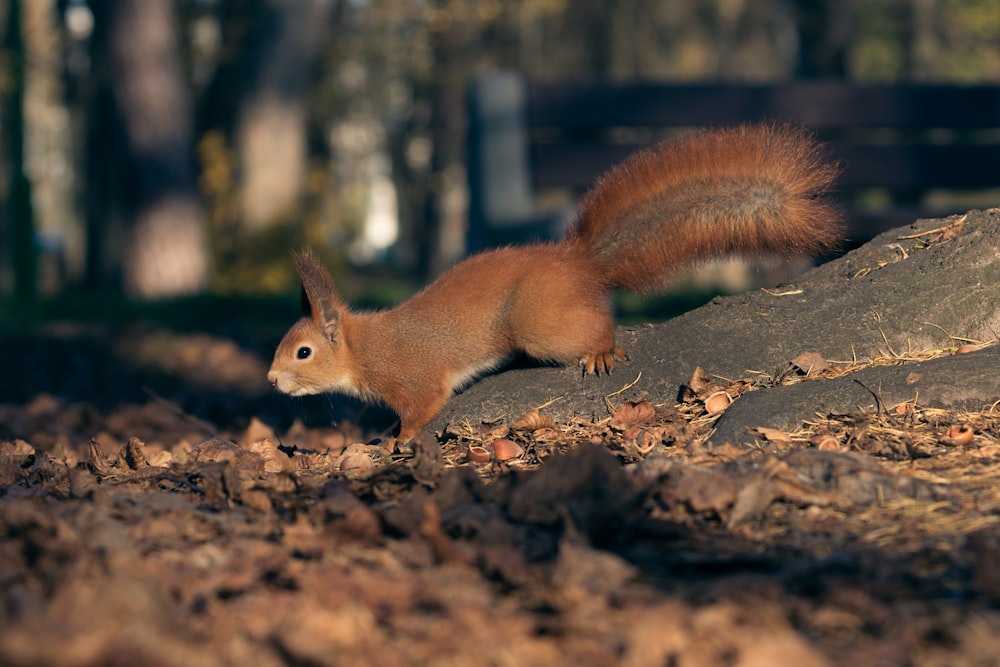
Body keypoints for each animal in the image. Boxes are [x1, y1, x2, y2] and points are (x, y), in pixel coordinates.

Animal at [268, 124, 844, 444]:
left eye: (302, 353)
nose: (272, 382)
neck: (365, 349)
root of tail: (576, 264)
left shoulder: (416, 378)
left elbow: (424, 407)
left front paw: (401, 440)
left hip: (538, 323)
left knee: (595, 325)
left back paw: (602, 350)